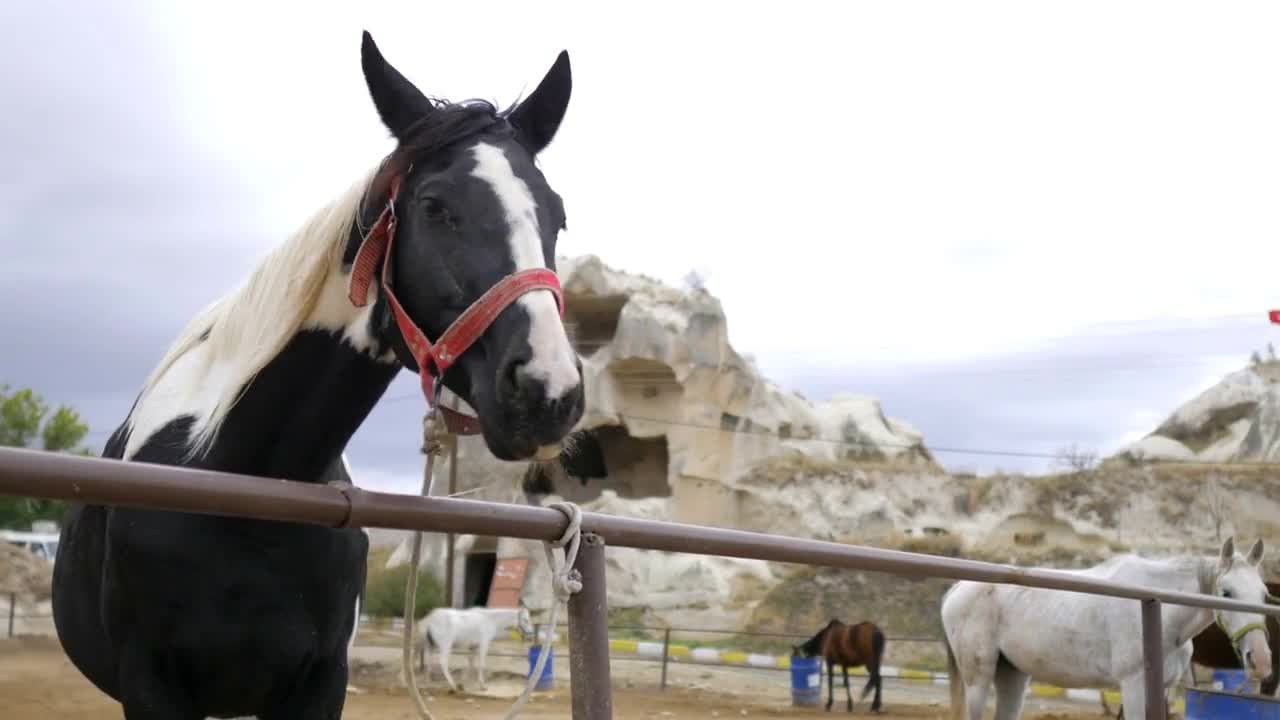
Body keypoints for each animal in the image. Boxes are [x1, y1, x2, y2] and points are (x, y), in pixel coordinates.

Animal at [48, 30, 588, 717]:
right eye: (434, 206)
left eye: (558, 215)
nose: (549, 391)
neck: (241, 481)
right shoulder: (151, 687)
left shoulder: (321, 681)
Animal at [942, 538, 1269, 717]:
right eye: (1226, 593)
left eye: (1265, 594)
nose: (1261, 660)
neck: (1157, 607)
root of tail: (957, 589)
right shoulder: (1134, 686)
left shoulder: (1162, 689)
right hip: (978, 681)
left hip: (1013, 676)